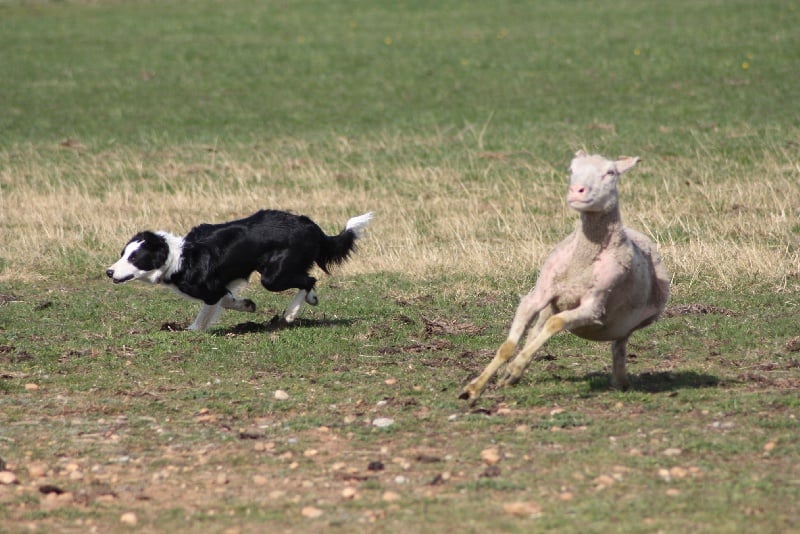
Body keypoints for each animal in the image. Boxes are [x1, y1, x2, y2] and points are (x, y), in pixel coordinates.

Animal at [104, 209, 376, 330]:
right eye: (122, 254)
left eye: (135, 257)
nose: (109, 272)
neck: (177, 256)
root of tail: (311, 226)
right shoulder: (218, 287)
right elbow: (227, 299)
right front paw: (246, 305)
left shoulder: (210, 289)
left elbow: (208, 311)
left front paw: (192, 331)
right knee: (308, 280)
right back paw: (310, 300)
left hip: (273, 276)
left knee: (309, 279)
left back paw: (291, 313)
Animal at [460, 151, 672, 406]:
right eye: (572, 170)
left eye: (610, 172)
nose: (577, 190)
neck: (582, 262)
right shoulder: (537, 295)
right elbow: (508, 346)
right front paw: (474, 388)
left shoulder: (594, 306)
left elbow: (556, 323)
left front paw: (514, 367)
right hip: (550, 304)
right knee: (537, 330)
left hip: (633, 321)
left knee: (618, 346)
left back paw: (620, 382)